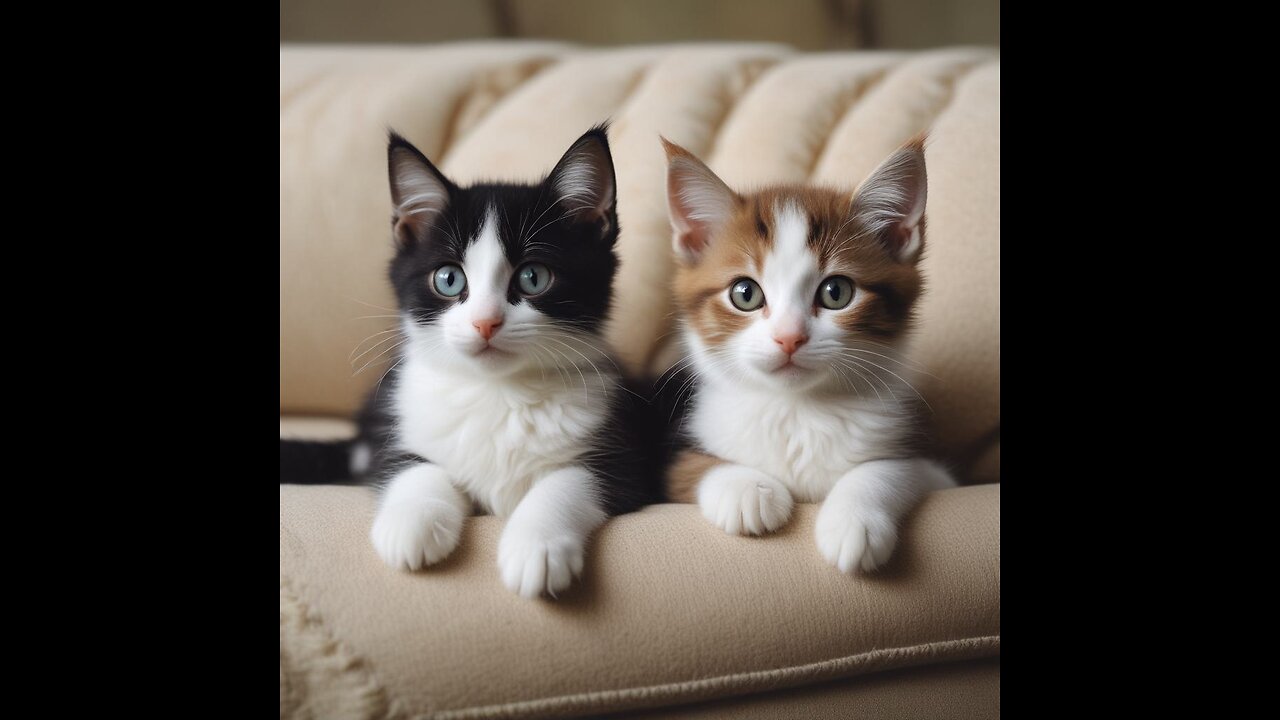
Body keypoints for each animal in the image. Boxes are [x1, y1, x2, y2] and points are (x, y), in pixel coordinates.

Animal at [284, 127, 655, 594]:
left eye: (533, 277)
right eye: (448, 279)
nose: (485, 322)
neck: (496, 392)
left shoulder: (625, 452)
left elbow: (573, 480)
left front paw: (536, 547)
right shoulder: (401, 423)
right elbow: (410, 465)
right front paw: (410, 524)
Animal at [660, 134, 952, 571]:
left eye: (837, 292)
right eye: (745, 294)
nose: (789, 337)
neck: (797, 411)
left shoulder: (938, 475)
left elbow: (894, 469)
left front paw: (854, 519)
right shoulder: (677, 462)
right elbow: (693, 466)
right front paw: (746, 490)